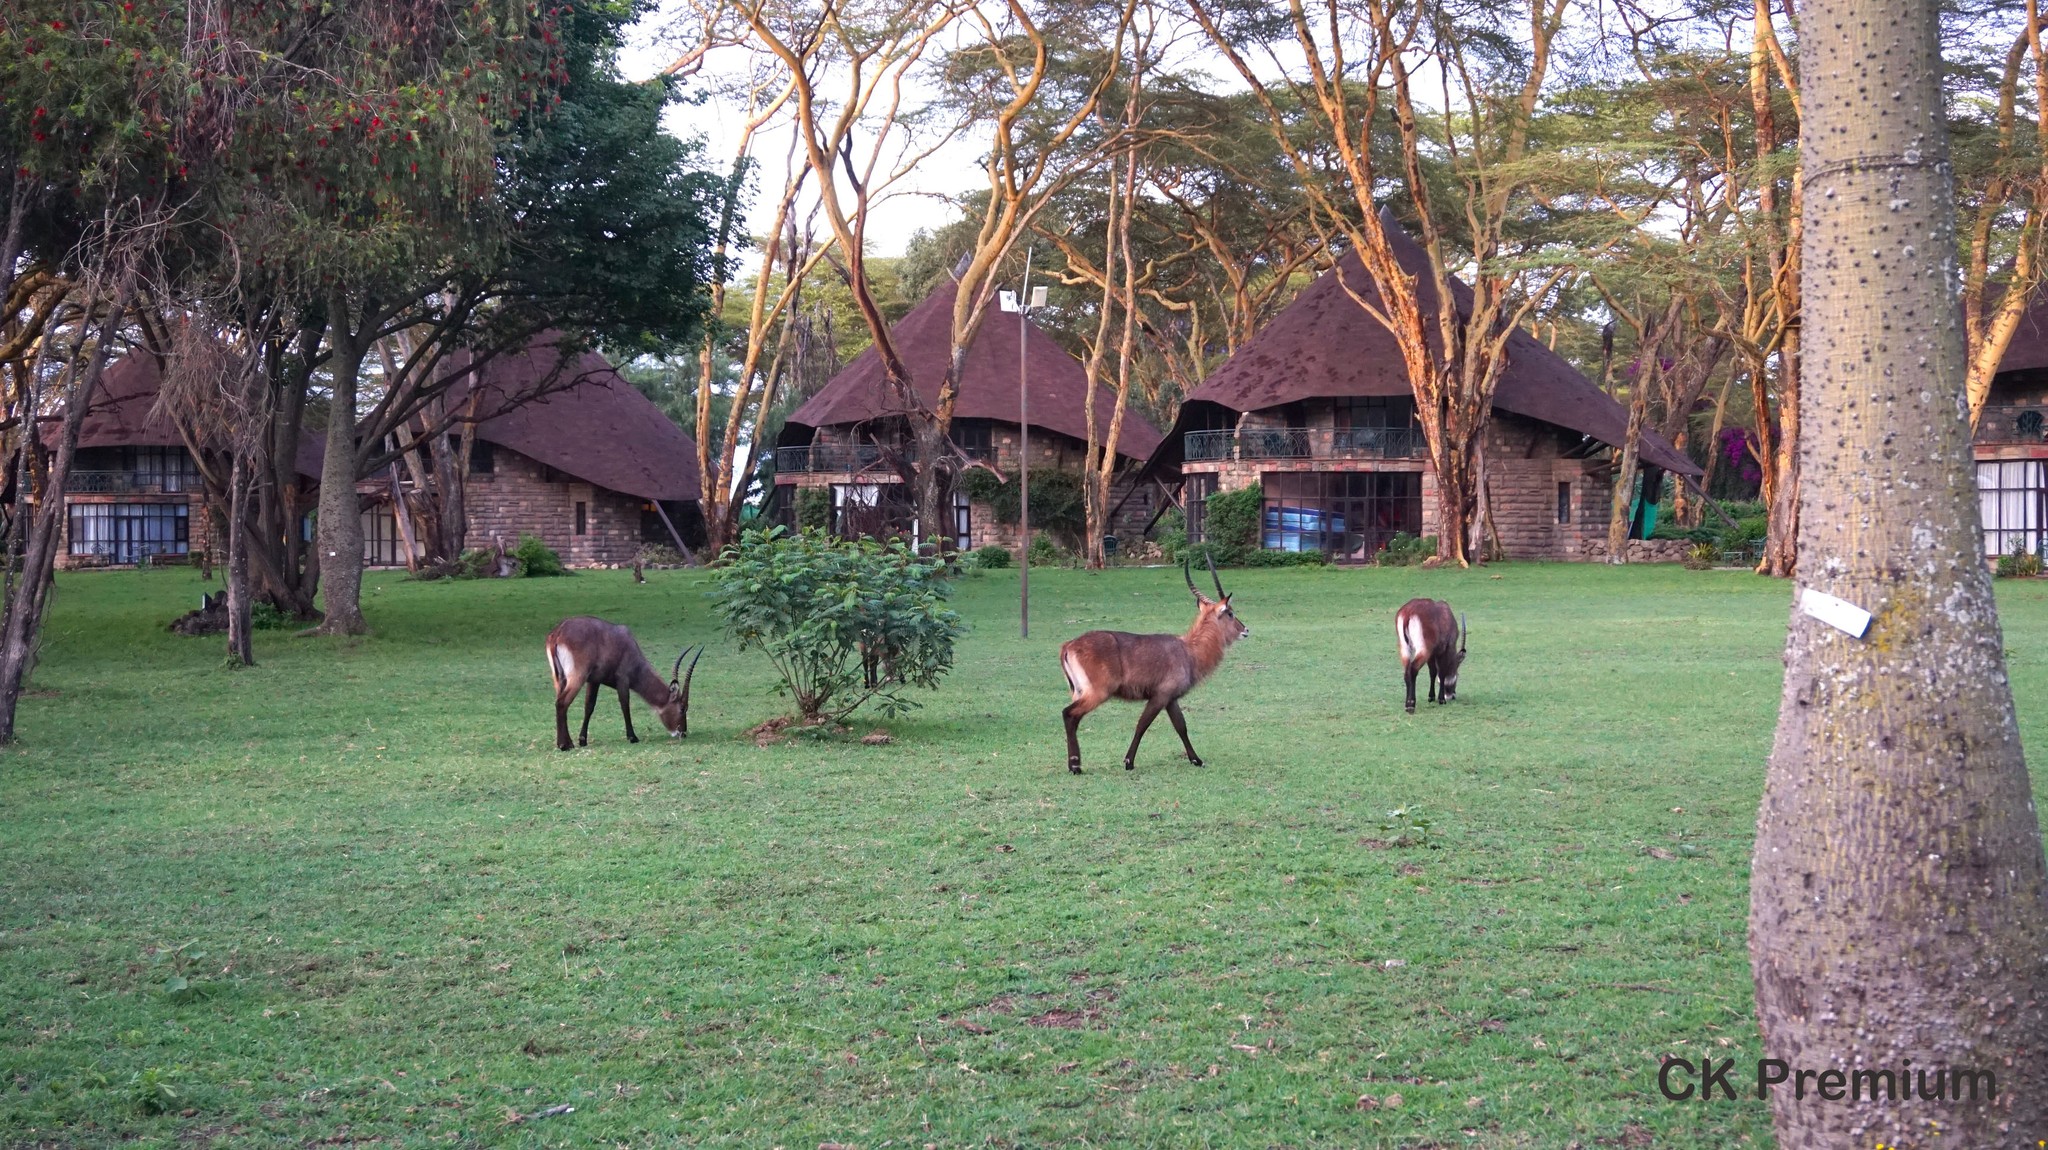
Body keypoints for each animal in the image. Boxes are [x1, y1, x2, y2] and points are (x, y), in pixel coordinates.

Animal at [544, 613, 704, 748]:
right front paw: (633, 737)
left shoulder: (594, 681)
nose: (683, 733)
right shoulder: (623, 679)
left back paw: (564, 742)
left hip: (560, 679)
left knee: (559, 702)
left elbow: (589, 706)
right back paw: (565, 745)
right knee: (561, 703)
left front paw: (583, 740)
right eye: (682, 708)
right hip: (577, 677)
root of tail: (558, 632)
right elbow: (625, 705)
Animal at [1056, 548, 1245, 769]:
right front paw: (1128, 762)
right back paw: (1075, 766)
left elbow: (1181, 726)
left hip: (1078, 691)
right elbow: (1142, 725)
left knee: (1073, 717)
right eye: (1230, 613)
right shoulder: (1160, 695)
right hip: (1098, 692)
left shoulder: (1171, 699)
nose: (1245, 630)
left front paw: (1196, 759)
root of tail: (1069, 645)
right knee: (1069, 714)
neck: (1189, 650)